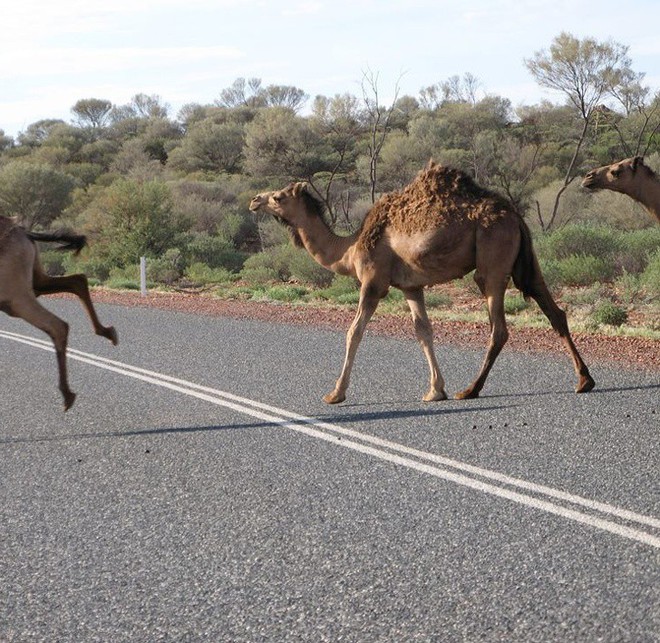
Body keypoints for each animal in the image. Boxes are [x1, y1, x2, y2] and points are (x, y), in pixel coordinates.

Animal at [0, 219, 117, 410]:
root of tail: (25, 233)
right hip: (32, 282)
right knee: (77, 280)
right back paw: (108, 332)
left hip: (13, 296)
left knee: (58, 324)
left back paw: (67, 395)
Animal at [250, 161, 596, 402]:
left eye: (278, 197)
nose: (254, 200)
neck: (349, 249)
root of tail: (514, 216)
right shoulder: (410, 286)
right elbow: (423, 332)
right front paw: (435, 391)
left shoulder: (374, 281)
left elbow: (354, 332)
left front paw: (335, 394)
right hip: (527, 260)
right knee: (553, 311)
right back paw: (584, 381)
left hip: (493, 258)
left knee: (498, 326)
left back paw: (470, 390)